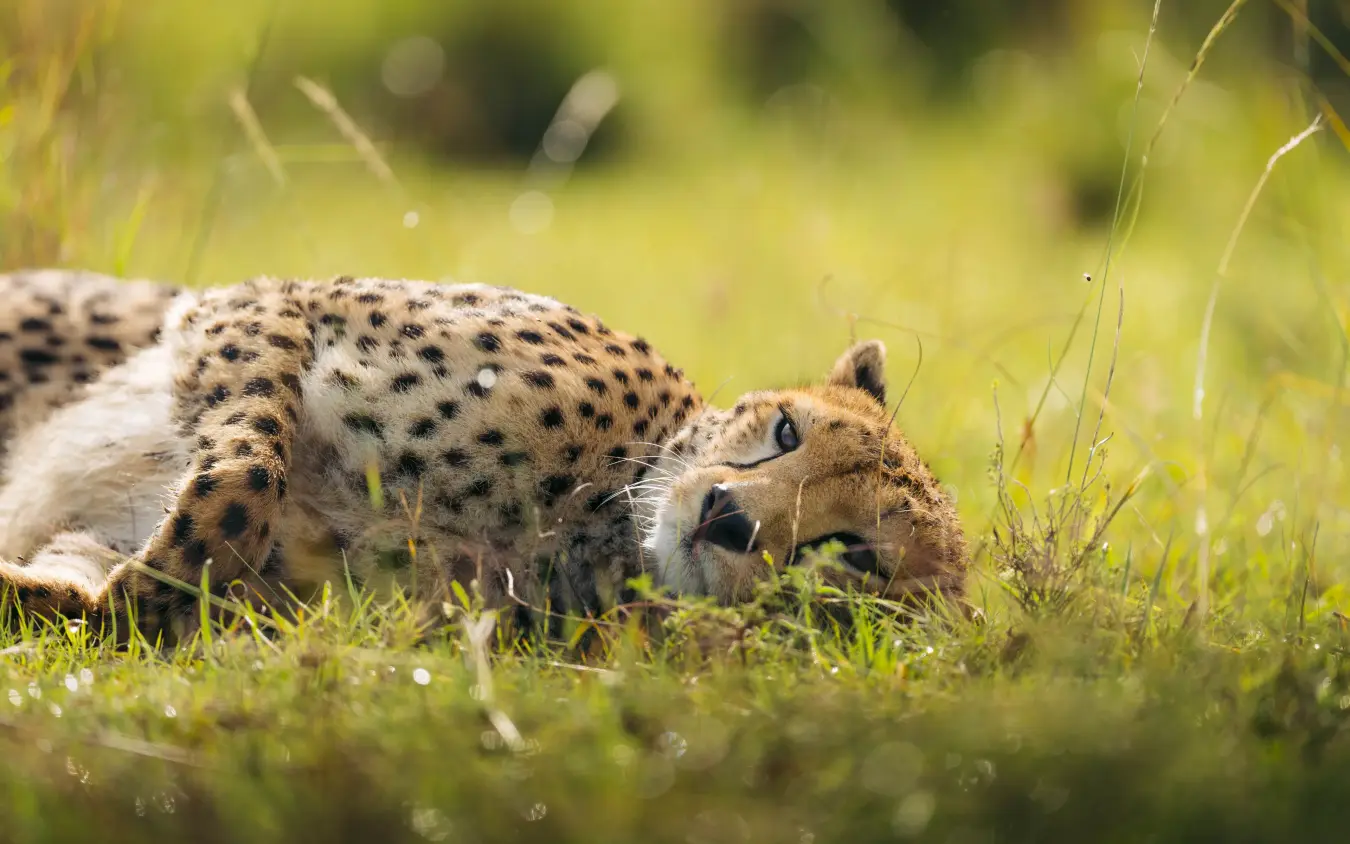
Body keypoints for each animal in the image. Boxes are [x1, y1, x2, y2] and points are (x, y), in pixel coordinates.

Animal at [0, 269, 967, 643]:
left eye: (851, 556)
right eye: (787, 432)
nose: (727, 517)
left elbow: (88, 593)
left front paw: (120, 594)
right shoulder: (264, 302)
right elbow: (248, 467)